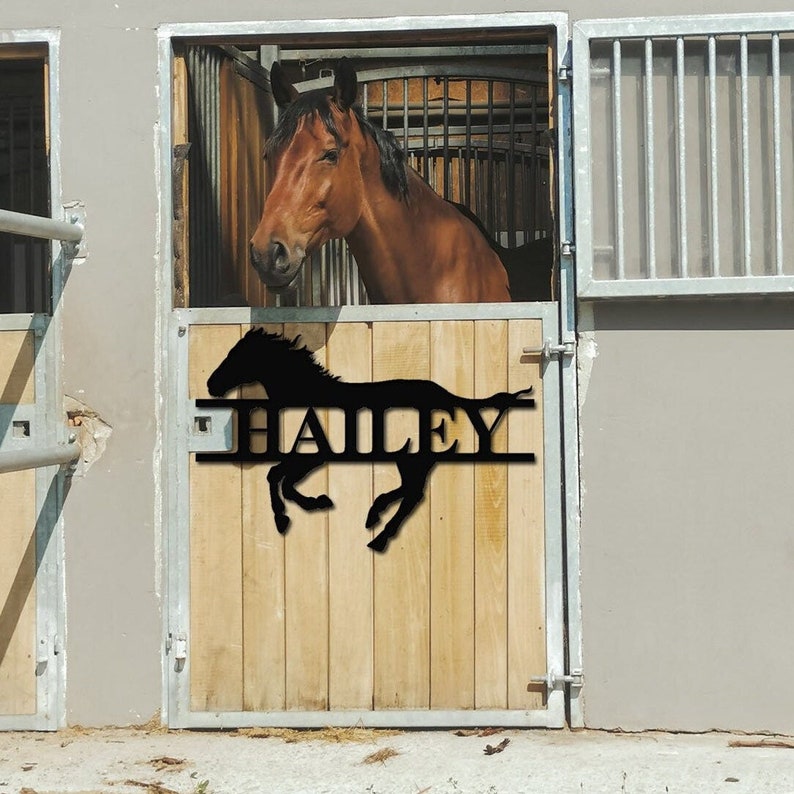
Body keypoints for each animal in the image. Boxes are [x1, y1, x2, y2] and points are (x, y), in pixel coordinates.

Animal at [206, 328, 534, 552]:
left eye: (237, 356)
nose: (211, 384)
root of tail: (447, 396)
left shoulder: (314, 455)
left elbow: (280, 479)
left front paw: (295, 513)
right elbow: (278, 477)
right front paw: (304, 509)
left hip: (413, 458)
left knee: (412, 495)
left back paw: (378, 535)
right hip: (413, 459)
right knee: (410, 492)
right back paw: (374, 517)